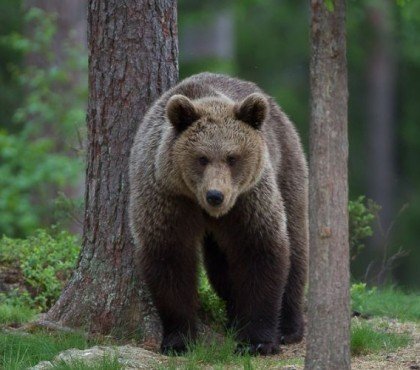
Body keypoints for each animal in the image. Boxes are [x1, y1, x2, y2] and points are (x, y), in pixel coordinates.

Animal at [128, 72, 308, 356]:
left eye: (232, 157)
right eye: (201, 158)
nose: (216, 195)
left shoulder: (248, 199)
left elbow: (260, 250)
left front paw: (258, 341)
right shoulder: (168, 198)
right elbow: (169, 259)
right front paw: (178, 340)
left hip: (286, 166)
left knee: (296, 243)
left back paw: (289, 327)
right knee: (221, 269)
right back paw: (233, 318)